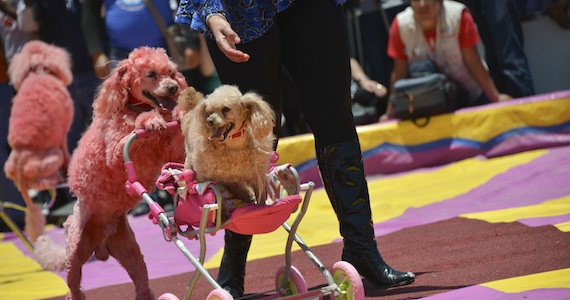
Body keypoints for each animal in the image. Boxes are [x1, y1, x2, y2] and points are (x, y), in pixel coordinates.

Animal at [3, 40, 74, 244]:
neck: (37, 71)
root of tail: (19, 167)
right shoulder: (63, 135)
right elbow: (67, 153)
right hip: (53, 156)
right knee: (42, 181)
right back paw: (55, 178)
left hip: (9, 167)